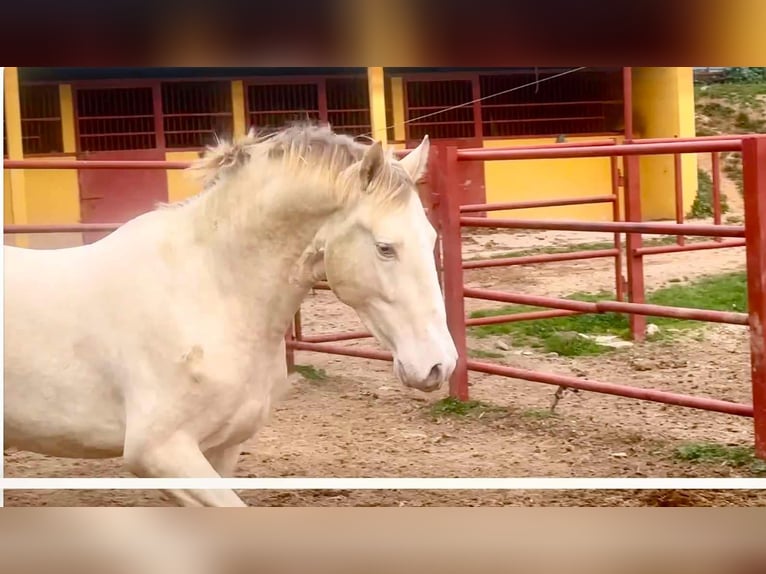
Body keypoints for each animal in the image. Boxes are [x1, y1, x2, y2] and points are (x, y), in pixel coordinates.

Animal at [6, 124, 460, 506]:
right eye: (385, 247)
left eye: (431, 237)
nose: (439, 365)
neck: (211, 291)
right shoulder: (159, 452)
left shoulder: (220, 450)